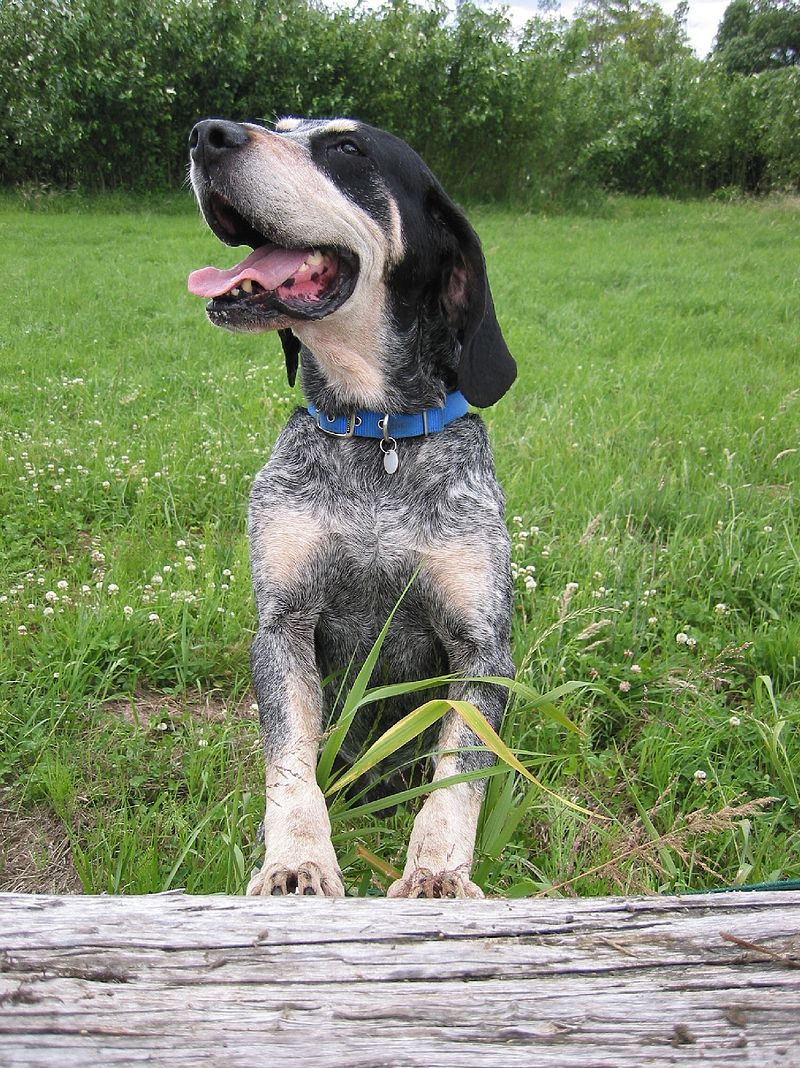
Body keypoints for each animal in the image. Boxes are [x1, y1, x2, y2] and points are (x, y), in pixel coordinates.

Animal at [186, 114, 514, 901]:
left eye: (346, 148)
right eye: (279, 126)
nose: (206, 133)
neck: (377, 436)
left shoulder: (482, 647)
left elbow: (457, 777)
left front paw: (437, 871)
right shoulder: (284, 626)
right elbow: (291, 768)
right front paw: (296, 859)